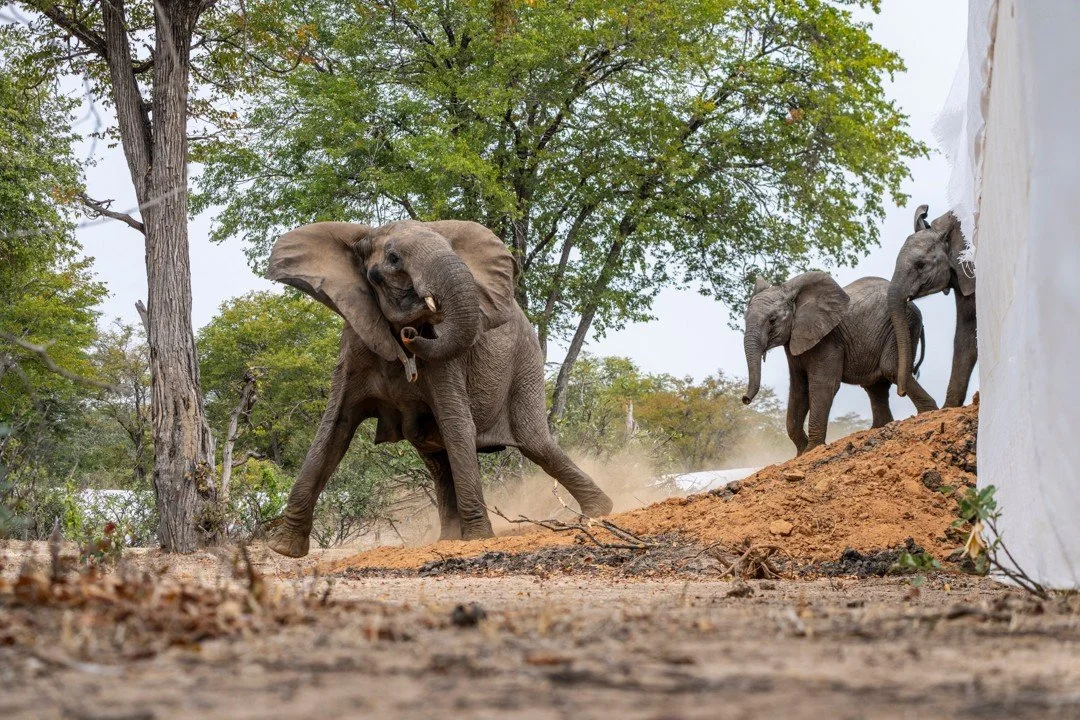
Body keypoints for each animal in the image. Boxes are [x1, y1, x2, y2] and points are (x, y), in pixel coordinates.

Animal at [263, 219, 613, 557]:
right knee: (436, 457)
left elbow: (457, 425)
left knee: (534, 443)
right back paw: (447, 540)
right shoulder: (354, 349)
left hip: (525, 358)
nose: (409, 334)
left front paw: (478, 539)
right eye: (393, 258)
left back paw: (599, 512)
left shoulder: (445, 362)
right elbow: (333, 431)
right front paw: (283, 549)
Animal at [742, 272, 937, 455]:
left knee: (891, 368)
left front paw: (811, 449)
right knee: (875, 386)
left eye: (772, 320)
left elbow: (823, 385)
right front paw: (800, 453)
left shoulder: (827, 339)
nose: (745, 399)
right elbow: (799, 389)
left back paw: (928, 413)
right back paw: (879, 427)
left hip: (903, 324)